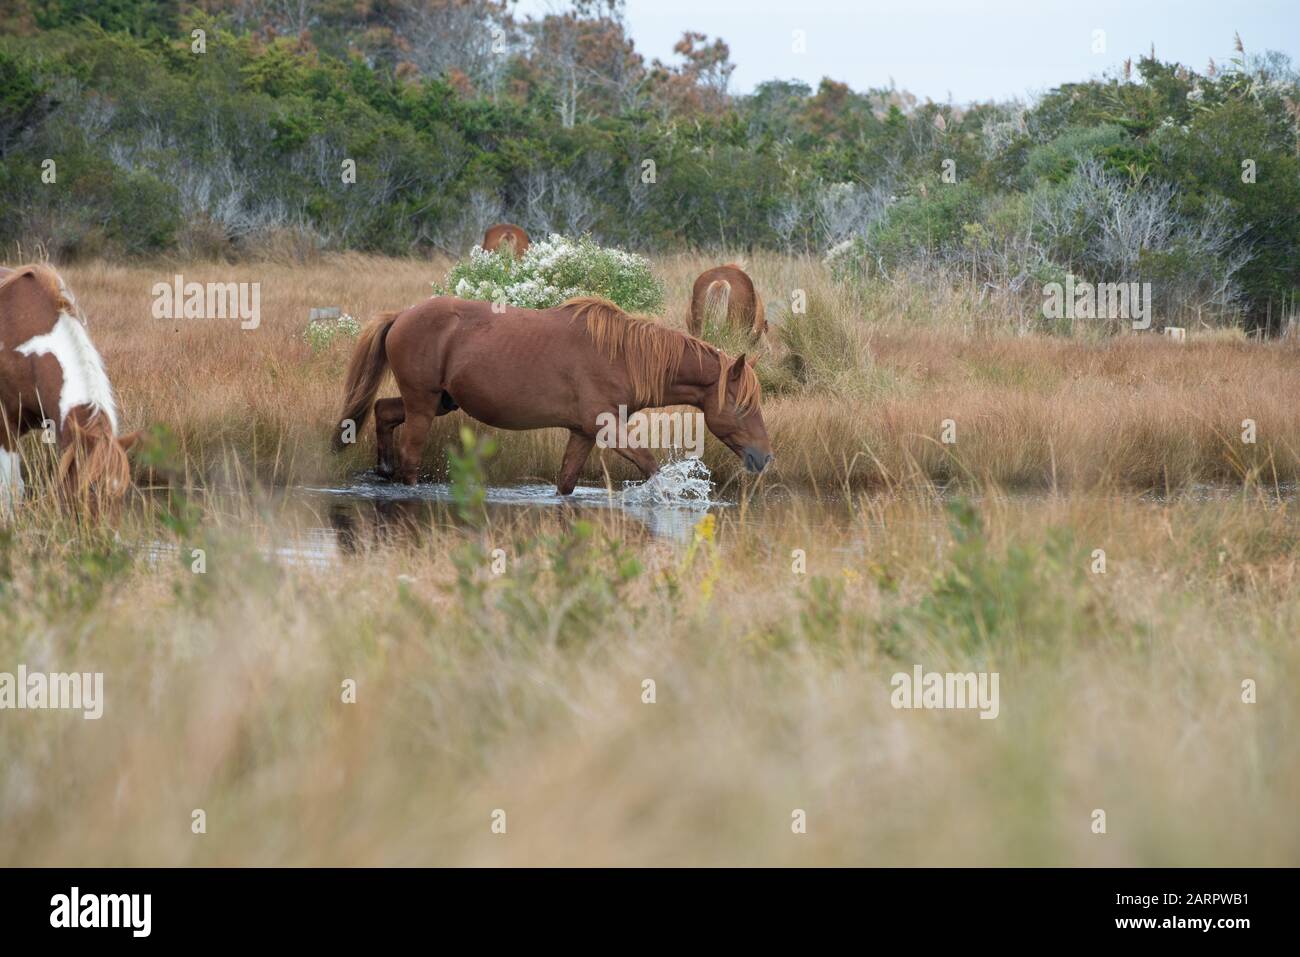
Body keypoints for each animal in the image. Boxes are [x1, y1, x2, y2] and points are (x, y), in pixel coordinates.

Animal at [335, 297, 774, 494]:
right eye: (743, 406)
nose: (764, 457)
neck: (625, 356)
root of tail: (401, 316)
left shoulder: (582, 433)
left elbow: (565, 483)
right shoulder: (607, 427)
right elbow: (651, 466)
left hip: (439, 402)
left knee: (383, 411)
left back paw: (383, 467)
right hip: (424, 405)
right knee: (410, 457)